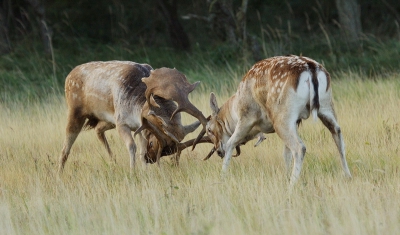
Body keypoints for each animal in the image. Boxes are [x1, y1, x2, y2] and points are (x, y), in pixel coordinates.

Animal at [59, 61, 206, 172]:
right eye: (153, 143)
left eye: (169, 151)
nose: (150, 160)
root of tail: (68, 76)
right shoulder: (121, 122)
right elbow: (132, 146)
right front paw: (132, 171)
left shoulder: (140, 126)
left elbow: (141, 150)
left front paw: (145, 171)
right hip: (75, 111)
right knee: (65, 148)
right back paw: (59, 173)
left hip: (108, 120)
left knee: (98, 129)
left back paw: (113, 161)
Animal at [202, 55, 352, 185]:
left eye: (209, 129)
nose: (218, 151)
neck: (235, 107)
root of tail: (311, 69)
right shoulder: (296, 121)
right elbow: (286, 153)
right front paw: (285, 175)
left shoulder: (247, 116)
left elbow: (231, 143)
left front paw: (222, 176)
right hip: (326, 106)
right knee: (338, 134)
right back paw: (347, 176)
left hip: (281, 116)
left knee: (300, 148)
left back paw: (292, 186)